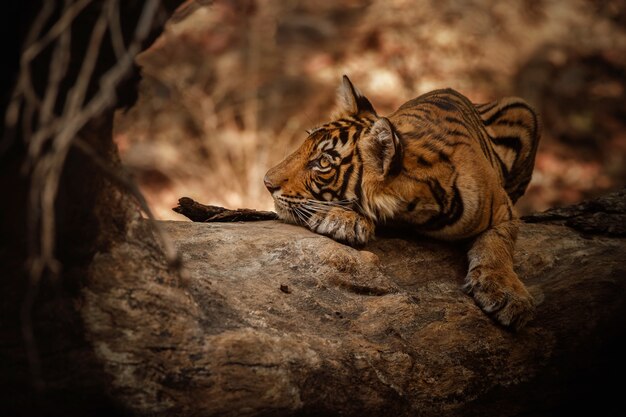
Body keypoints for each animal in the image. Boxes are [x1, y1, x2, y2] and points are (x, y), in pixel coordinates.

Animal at [262, 75, 536, 328]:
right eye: (304, 144)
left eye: (323, 162)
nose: (266, 182)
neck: (413, 212)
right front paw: (341, 220)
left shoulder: (504, 211)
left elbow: (497, 245)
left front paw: (508, 294)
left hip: (523, 110)